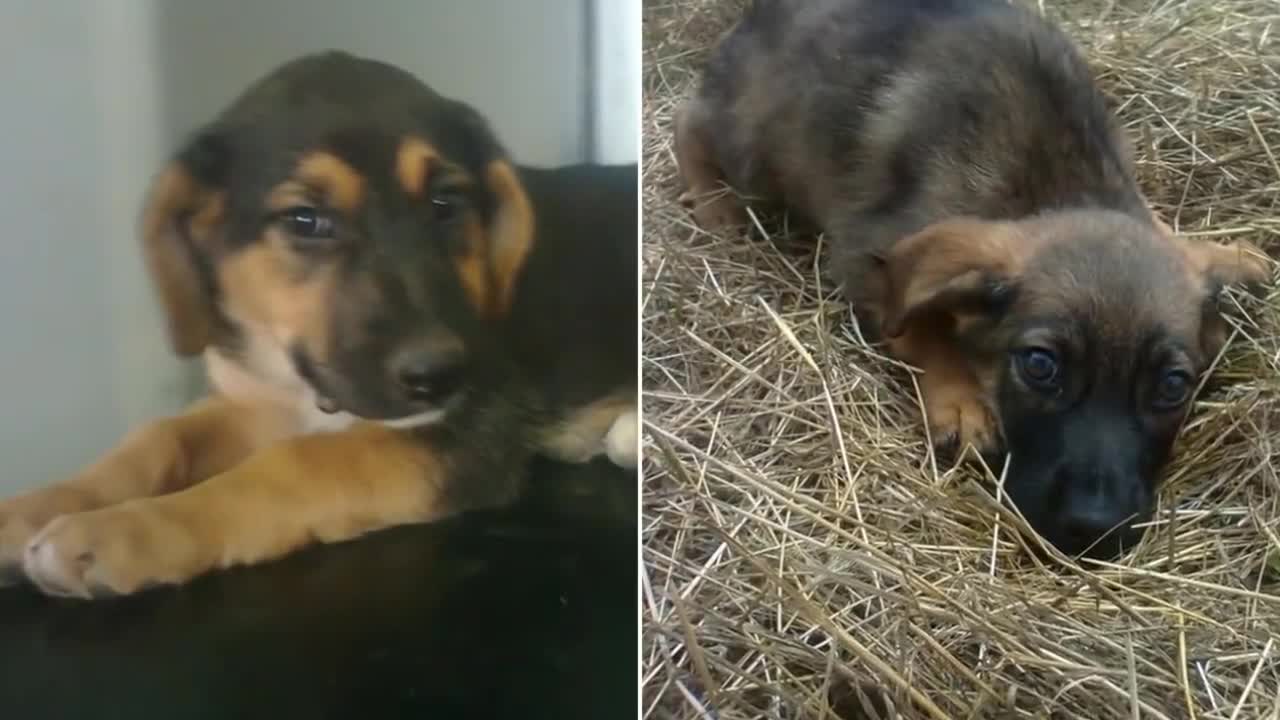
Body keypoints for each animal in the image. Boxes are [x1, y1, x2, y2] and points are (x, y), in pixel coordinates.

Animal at [0, 51, 637, 594]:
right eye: (305, 220)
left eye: (446, 204)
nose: (440, 375)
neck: (302, 379)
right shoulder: (252, 402)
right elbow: (157, 437)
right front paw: (45, 502)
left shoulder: (469, 433)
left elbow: (294, 464)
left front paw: (125, 531)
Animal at [680, 0, 1269, 556]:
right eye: (1040, 366)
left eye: (1173, 386)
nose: (1094, 530)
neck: (1060, 186)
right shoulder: (864, 253)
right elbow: (920, 326)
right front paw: (961, 402)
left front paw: (1234, 253)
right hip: (754, 143)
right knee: (689, 128)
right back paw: (715, 206)